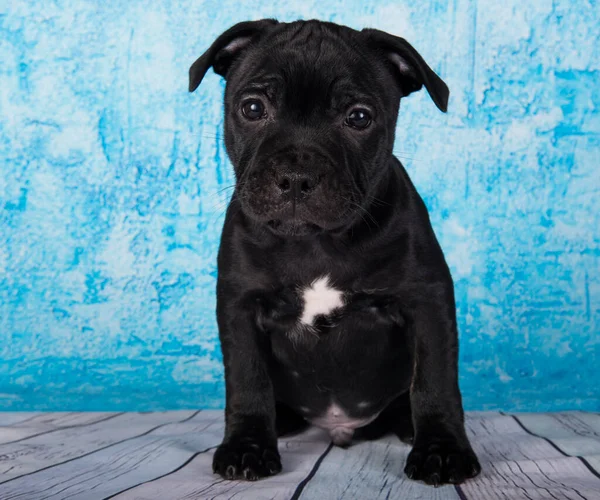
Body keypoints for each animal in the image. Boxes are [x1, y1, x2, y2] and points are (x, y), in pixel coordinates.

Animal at [190, 18, 480, 484]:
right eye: (252, 109)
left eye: (358, 117)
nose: (296, 175)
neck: (316, 242)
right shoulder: (240, 306)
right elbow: (248, 380)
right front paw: (247, 447)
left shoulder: (427, 300)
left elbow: (435, 381)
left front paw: (442, 449)